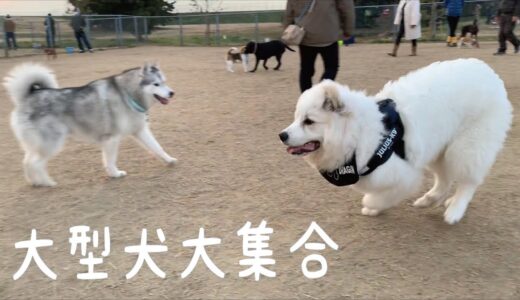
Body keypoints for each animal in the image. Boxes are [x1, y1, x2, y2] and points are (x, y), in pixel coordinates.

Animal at [280, 58, 512, 224]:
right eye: (296, 118)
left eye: (309, 122)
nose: (282, 135)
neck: (359, 133)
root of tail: (489, 72)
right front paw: (374, 208)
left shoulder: (404, 175)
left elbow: (382, 196)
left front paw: (371, 205)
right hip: (438, 150)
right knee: (444, 180)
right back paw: (430, 200)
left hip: (466, 148)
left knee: (468, 182)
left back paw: (455, 209)